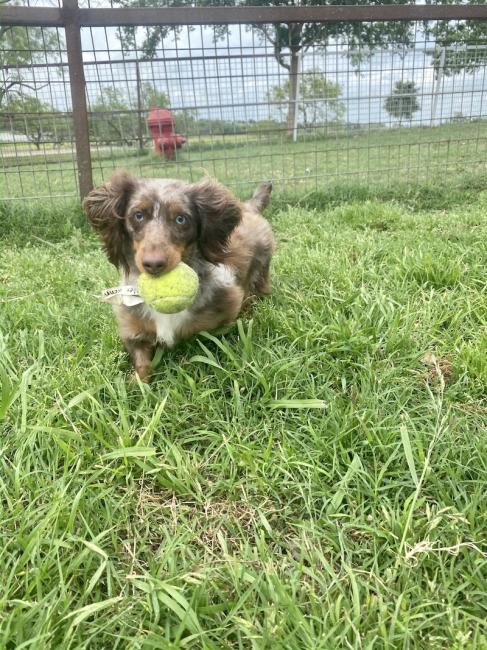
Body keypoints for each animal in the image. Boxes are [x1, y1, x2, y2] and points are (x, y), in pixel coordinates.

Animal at [84, 171, 274, 380]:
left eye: (181, 219)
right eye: (138, 215)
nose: (153, 264)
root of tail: (249, 207)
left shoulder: (223, 320)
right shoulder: (133, 332)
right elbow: (141, 366)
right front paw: (136, 384)